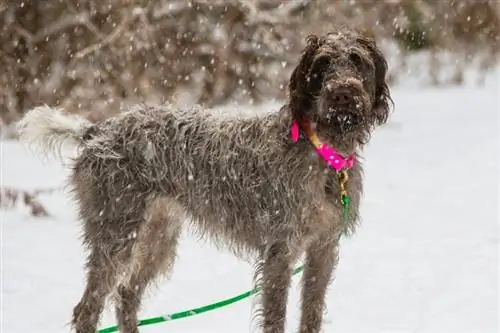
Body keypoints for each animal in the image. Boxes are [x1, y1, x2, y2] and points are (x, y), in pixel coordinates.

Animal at [16, 29, 394, 332]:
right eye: (323, 64)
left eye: (357, 61)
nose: (343, 93)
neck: (324, 150)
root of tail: (98, 131)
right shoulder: (280, 253)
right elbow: (275, 318)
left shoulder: (322, 251)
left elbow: (311, 315)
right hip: (116, 234)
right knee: (87, 309)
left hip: (157, 236)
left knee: (126, 295)